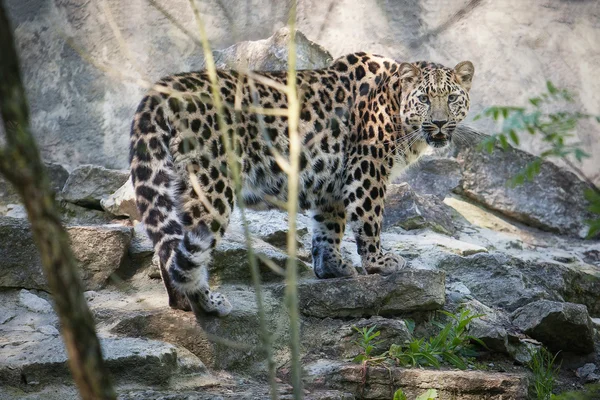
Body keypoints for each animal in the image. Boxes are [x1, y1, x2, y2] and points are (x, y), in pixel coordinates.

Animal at [129, 50, 476, 318]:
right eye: (424, 98)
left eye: (452, 98)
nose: (440, 123)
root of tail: (164, 88)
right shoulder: (367, 167)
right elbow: (368, 218)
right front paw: (379, 262)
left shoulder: (333, 178)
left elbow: (329, 226)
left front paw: (332, 267)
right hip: (212, 183)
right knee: (191, 247)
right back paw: (208, 303)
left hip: (172, 180)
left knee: (168, 245)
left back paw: (181, 302)